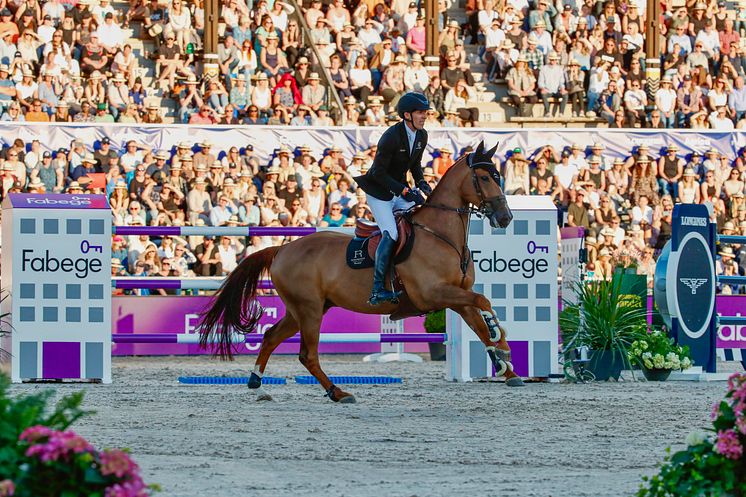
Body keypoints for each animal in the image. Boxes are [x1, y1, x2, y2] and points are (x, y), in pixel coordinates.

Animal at [198, 140, 524, 404]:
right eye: (484, 178)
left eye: (498, 176)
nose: (506, 218)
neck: (441, 234)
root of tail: (282, 250)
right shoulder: (434, 294)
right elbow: (484, 303)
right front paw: (502, 342)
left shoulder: (457, 295)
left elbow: (479, 320)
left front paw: (504, 365)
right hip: (309, 310)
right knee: (307, 354)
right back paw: (338, 393)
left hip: (302, 309)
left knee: (270, 337)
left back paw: (258, 383)